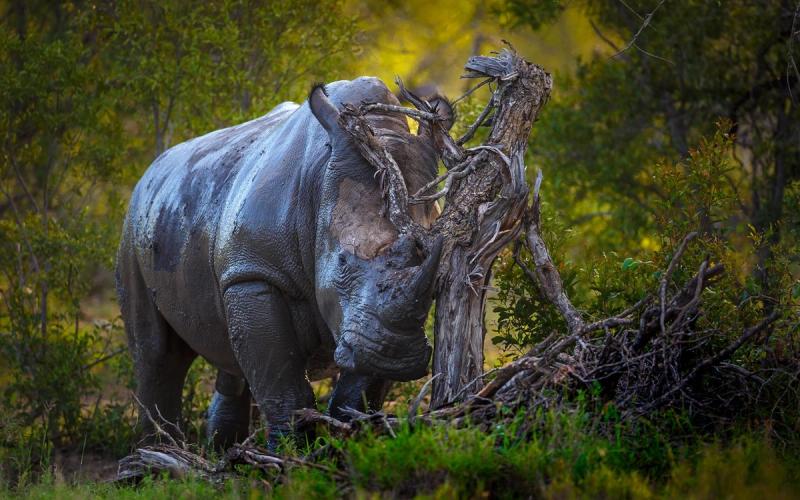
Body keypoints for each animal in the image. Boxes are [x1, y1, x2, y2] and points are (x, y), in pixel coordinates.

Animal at [116, 77, 452, 447]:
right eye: (342, 263)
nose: (394, 356)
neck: (320, 182)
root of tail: (151, 171)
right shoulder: (253, 273)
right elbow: (281, 378)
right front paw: (294, 451)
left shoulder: (364, 324)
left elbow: (358, 389)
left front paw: (351, 439)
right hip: (134, 227)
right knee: (156, 354)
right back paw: (157, 455)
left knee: (229, 361)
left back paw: (220, 451)